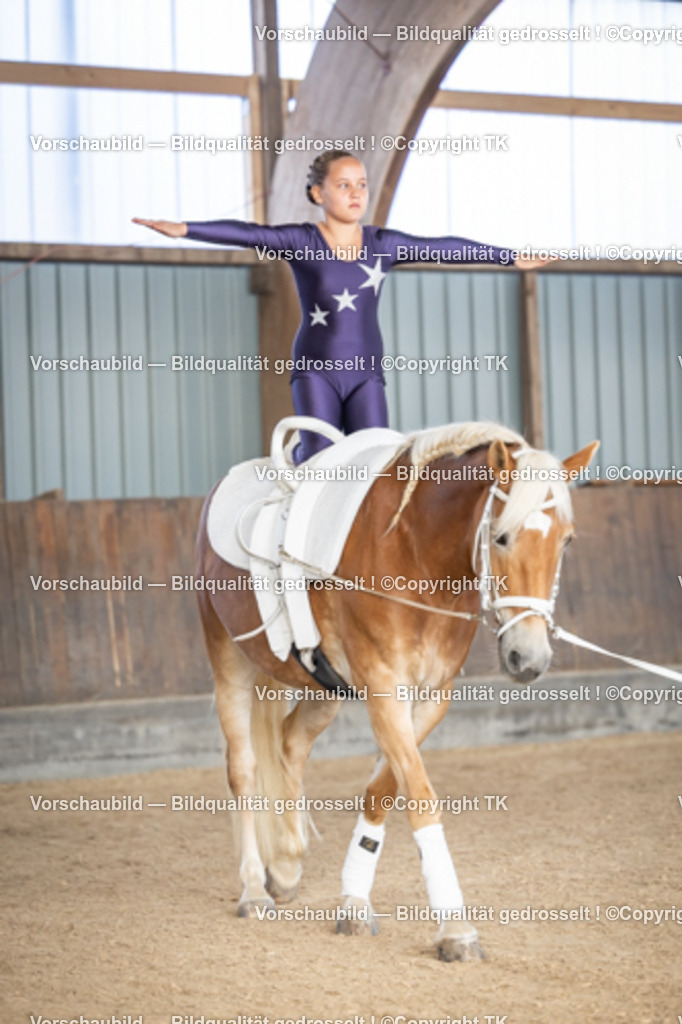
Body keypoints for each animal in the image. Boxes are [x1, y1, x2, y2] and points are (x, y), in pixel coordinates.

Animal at [195, 421, 599, 961]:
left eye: (567, 542)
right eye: (501, 537)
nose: (528, 659)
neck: (418, 553)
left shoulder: (431, 697)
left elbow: (383, 788)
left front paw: (354, 900)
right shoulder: (385, 688)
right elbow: (421, 796)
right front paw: (455, 928)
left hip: (325, 689)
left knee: (290, 743)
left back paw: (286, 865)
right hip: (229, 661)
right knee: (243, 768)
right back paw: (255, 889)